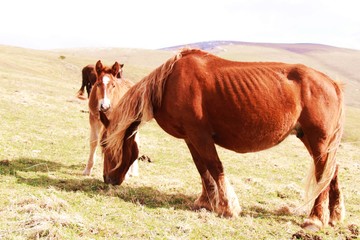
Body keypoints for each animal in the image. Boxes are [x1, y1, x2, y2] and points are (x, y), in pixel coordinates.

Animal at [102, 48, 346, 231]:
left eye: (104, 146)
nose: (107, 179)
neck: (168, 83)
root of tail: (333, 84)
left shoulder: (200, 135)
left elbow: (215, 167)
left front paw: (228, 207)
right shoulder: (191, 138)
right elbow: (202, 169)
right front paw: (205, 202)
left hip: (319, 140)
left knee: (322, 174)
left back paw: (315, 219)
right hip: (314, 141)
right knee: (331, 171)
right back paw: (334, 215)